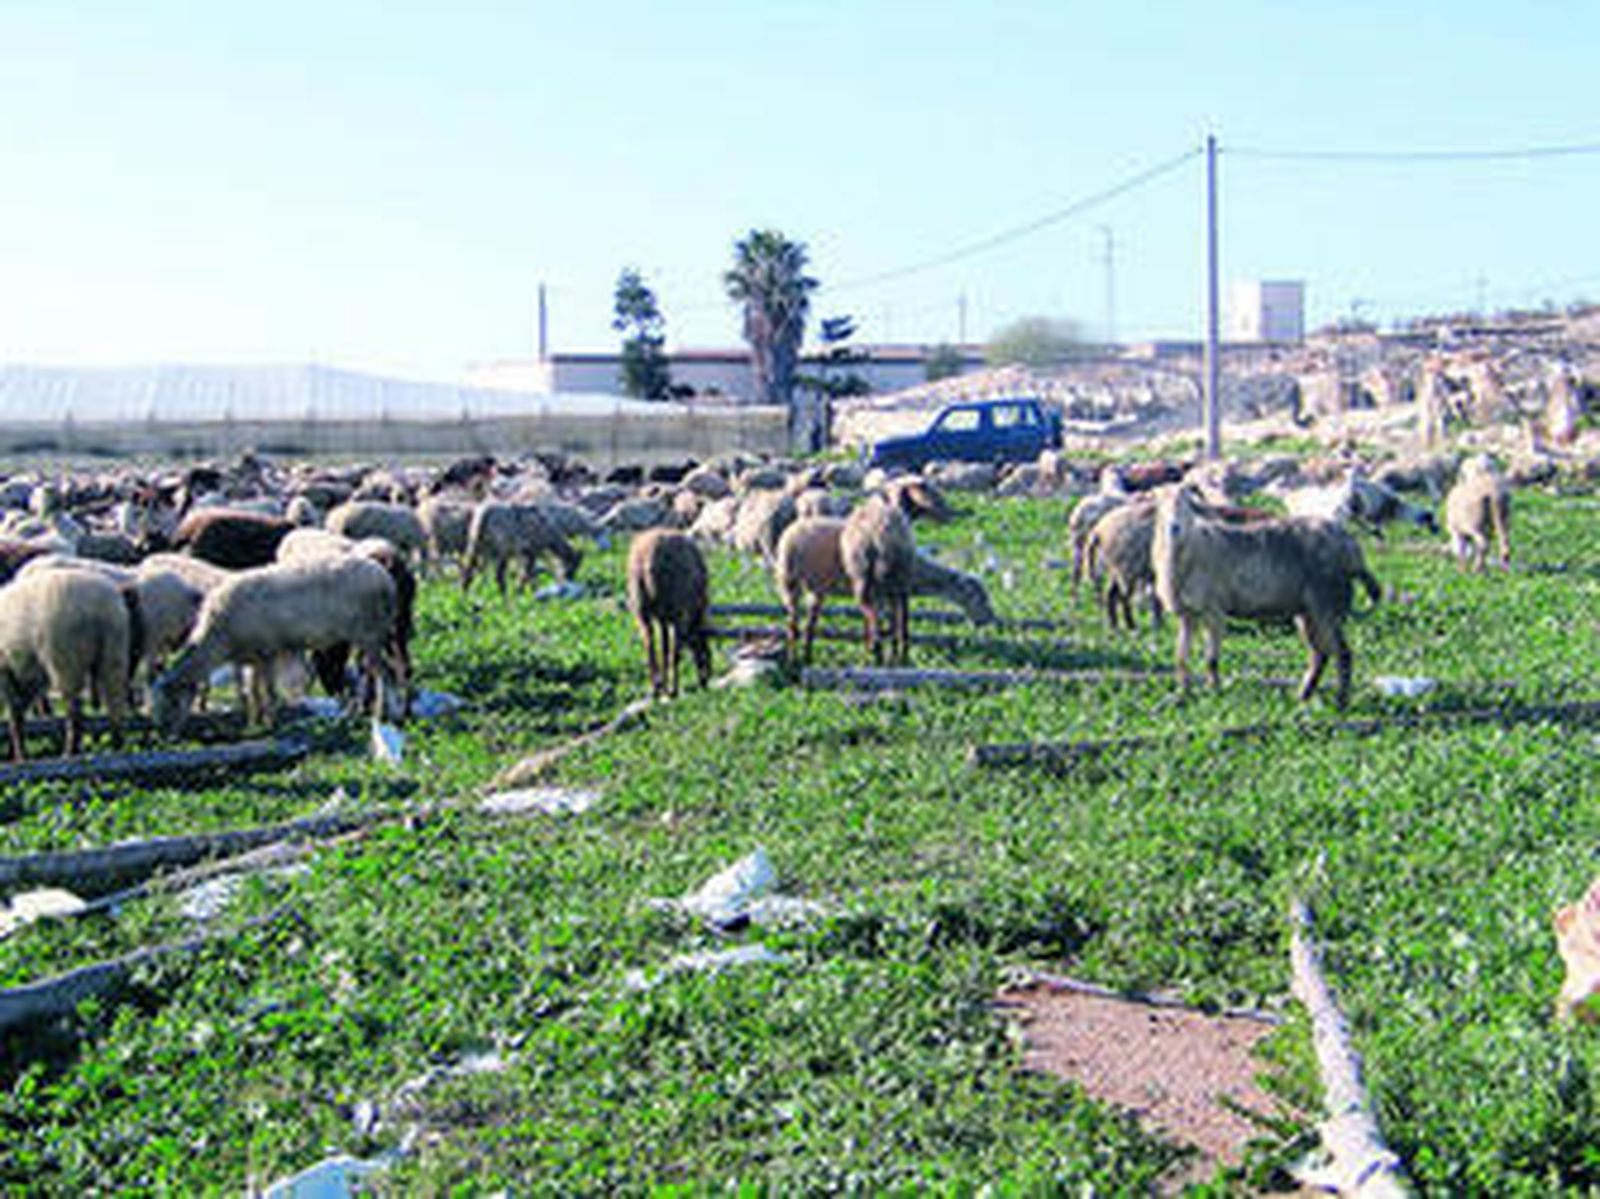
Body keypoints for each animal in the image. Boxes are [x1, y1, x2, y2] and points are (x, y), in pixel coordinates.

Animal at [0, 568, 131, 759]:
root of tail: (99, 606)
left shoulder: (8, 672)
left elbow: (14, 713)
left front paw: (20, 755)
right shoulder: (26, 675)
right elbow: (18, 711)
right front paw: (19, 753)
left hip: (66, 659)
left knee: (75, 713)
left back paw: (70, 752)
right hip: (114, 651)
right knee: (115, 703)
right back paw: (116, 748)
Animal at [152, 555, 399, 735]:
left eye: (170, 702)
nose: (167, 735)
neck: (218, 637)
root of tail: (385, 578)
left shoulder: (269, 651)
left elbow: (268, 692)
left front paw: (271, 724)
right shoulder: (254, 658)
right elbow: (254, 691)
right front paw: (255, 722)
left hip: (370, 633)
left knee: (383, 673)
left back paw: (382, 714)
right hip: (366, 637)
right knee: (370, 671)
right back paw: (361, 712)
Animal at [626, 530, 713, 698]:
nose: (705, 680)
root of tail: (647, 556)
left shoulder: (663, 618)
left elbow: (664, 647)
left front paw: (663, 684)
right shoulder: (678, 616)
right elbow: (671, 648)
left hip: (640, 605)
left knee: (649, 643)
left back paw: (656, 686)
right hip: (676, 606)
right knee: (675, 650)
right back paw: (673, 688)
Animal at [839, 495, 917, 665]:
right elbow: (895, 615)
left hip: (864, 577)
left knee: (871, 611)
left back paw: (876, 649)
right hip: (899, 576)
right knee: (901, 615)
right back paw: (900, 653)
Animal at [1152, 485, 1379, 707]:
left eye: (1187, 505)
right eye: (1161, 507)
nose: (1174, 527)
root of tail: (1352, 547)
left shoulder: (1214, 610)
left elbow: (1211, 659)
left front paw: (1215, 693)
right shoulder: (1187, 615)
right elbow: (1181, 657)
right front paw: (1184, 693)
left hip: (1327, 603)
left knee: (1343, 653)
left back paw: (1341, 701)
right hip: (1307, 612)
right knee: (1320, 654)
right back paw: (1303, 696)